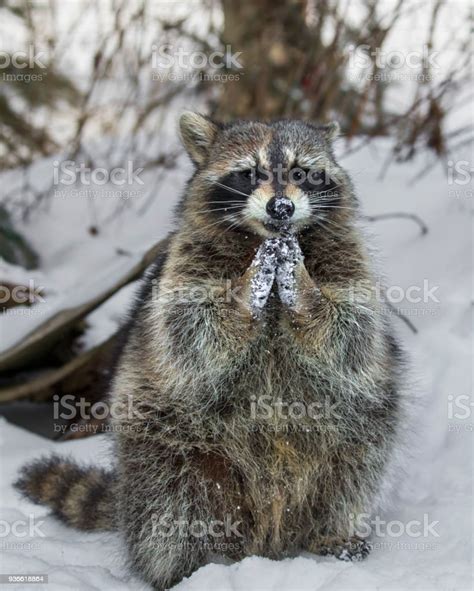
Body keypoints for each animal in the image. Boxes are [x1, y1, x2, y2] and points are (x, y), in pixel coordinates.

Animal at [15, 113, 408, 588]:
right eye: (250, 173)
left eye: (302, 172)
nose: (281, 208)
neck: (262, 240)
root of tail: (269, 534)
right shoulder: (182, 265)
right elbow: (190, 330)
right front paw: (243, 293)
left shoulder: (348, 259)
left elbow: (352, 330)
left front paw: (305, 292)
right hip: (164, 439)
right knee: (172, 501)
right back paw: (188, 562)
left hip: (356, 423)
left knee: (354, 465)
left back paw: (331, 532)